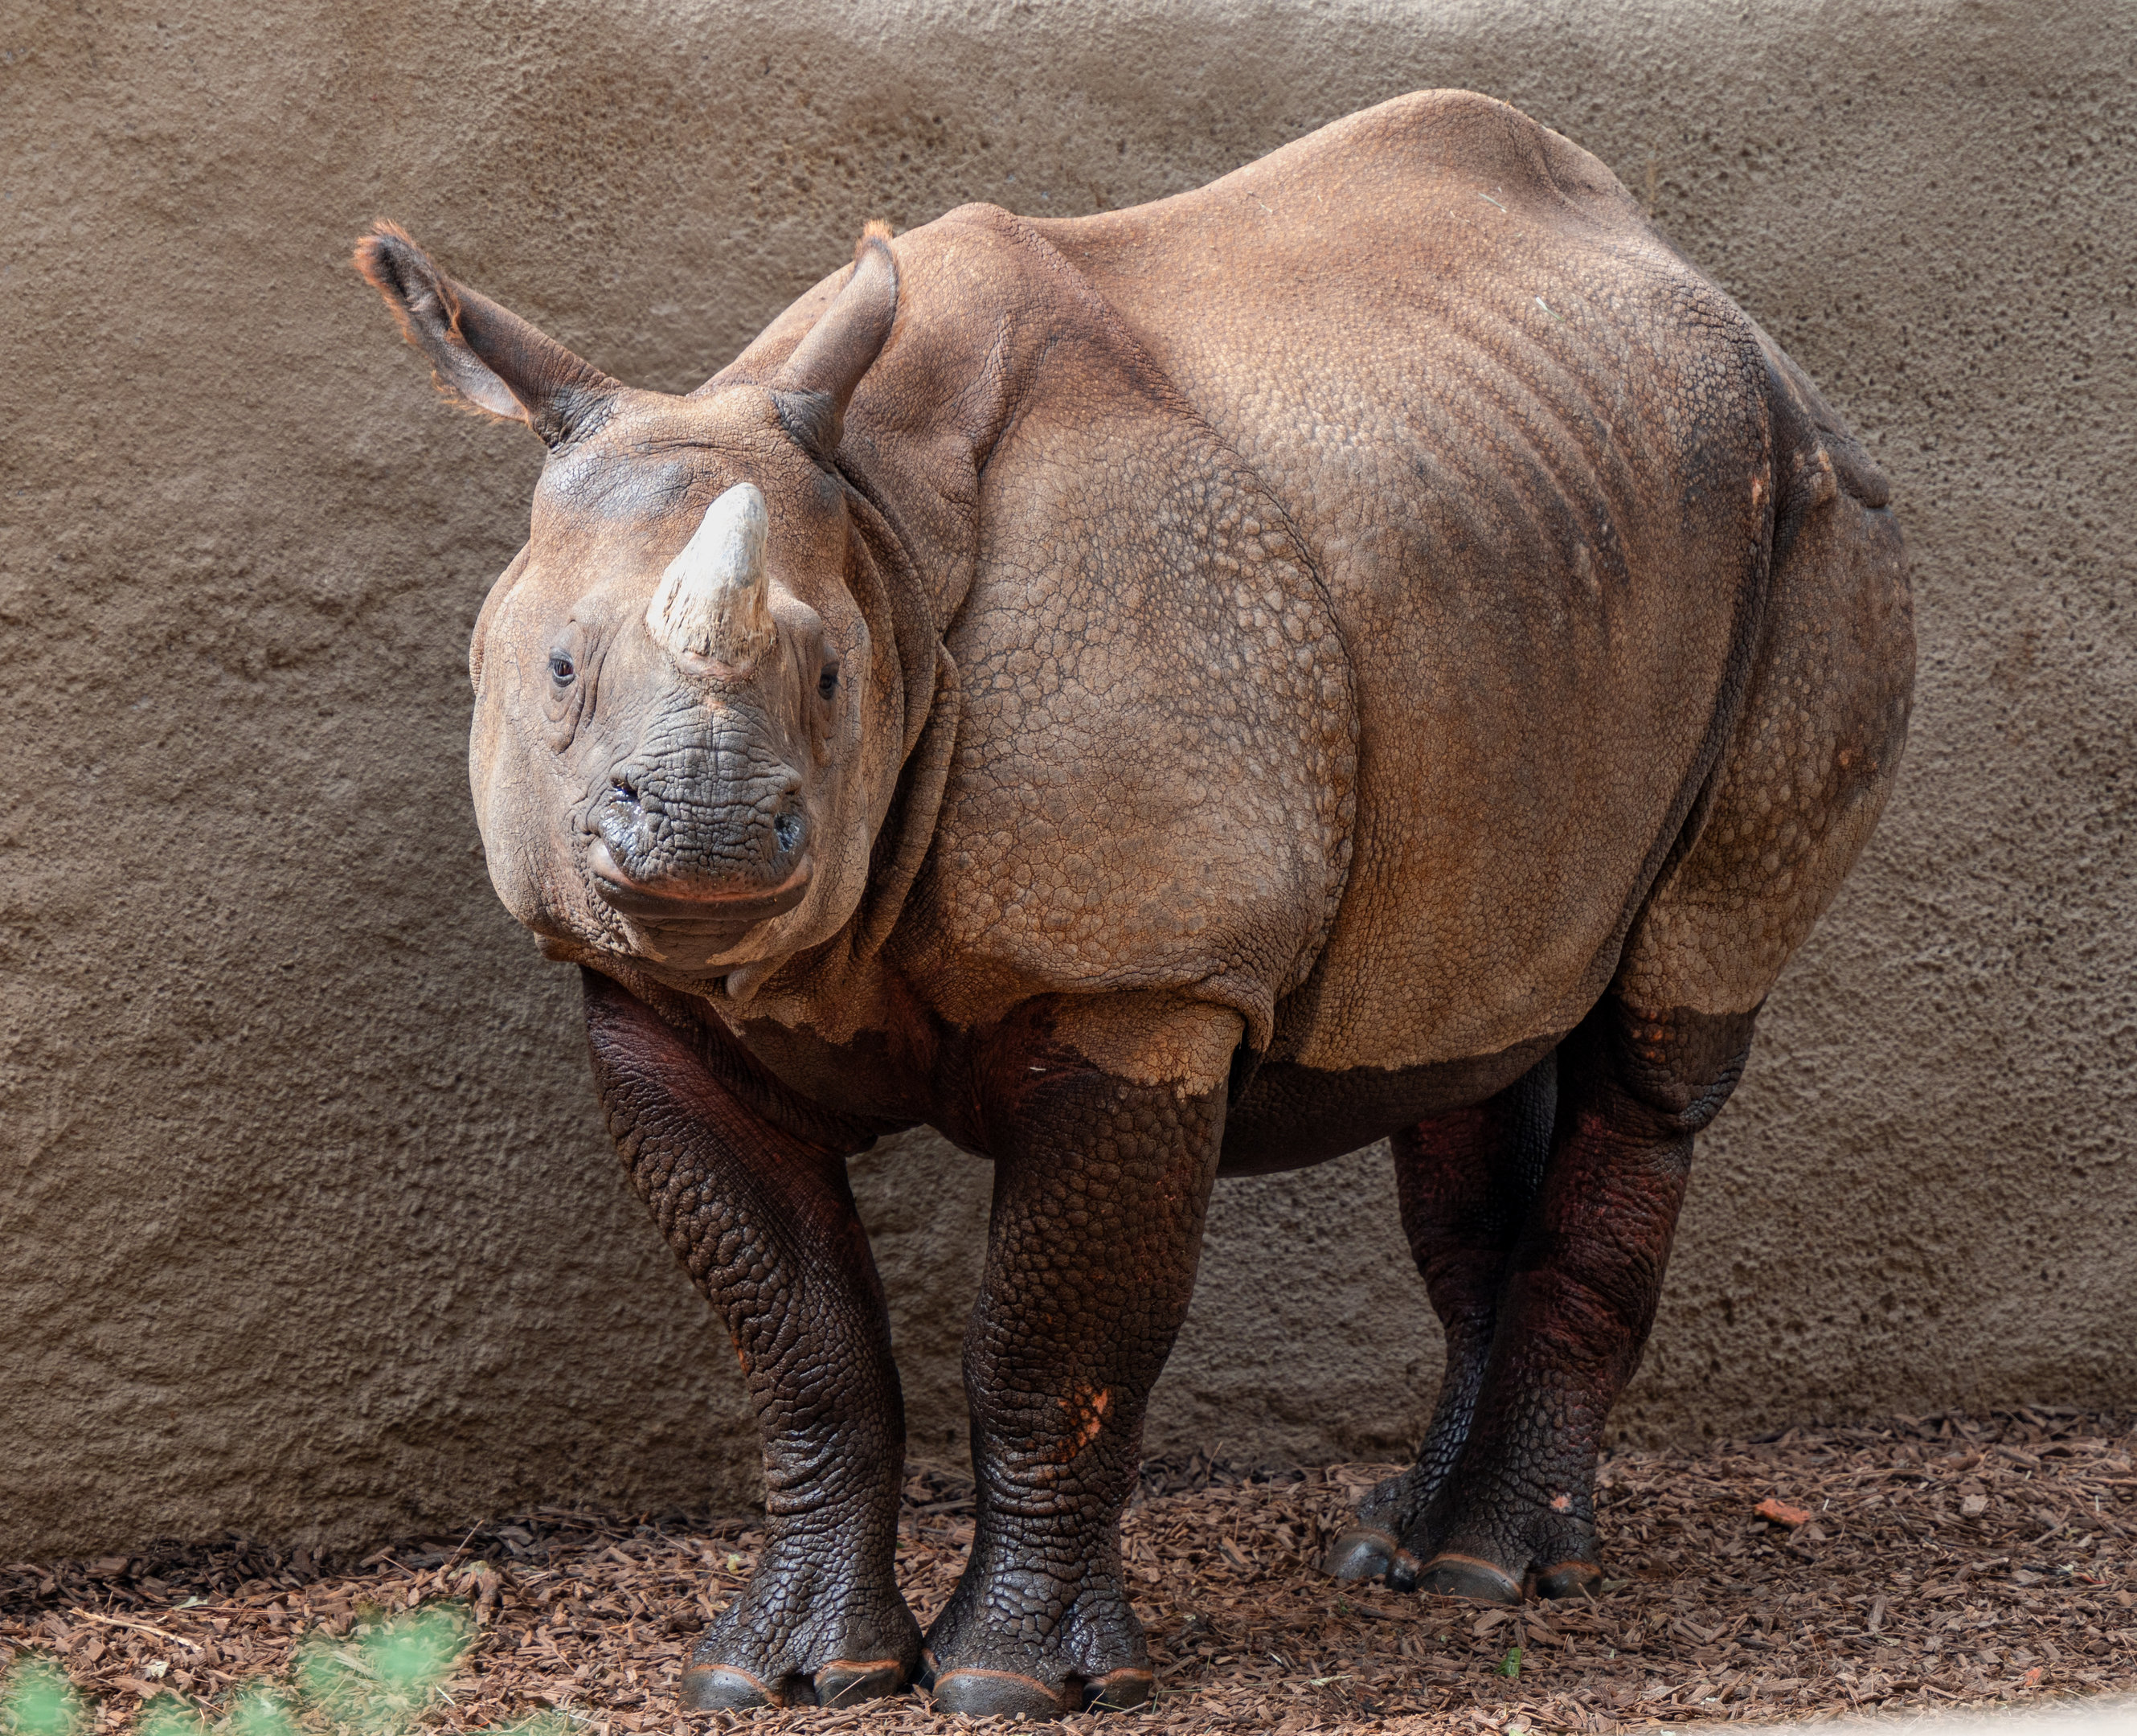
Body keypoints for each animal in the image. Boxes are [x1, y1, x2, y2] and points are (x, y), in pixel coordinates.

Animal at [356, 89, 1911, 1717]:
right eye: (558, 671)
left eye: (833, 679)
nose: (710, 834)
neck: (882, 522)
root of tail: (1744, 324)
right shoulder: (646, 990)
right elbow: (796, 1338)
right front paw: (781, 1673)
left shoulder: (1144, 974)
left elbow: (1054, 1339)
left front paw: (1011, 1684)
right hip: (1538, 541)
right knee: (1460, 1046)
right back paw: (1397, 1551)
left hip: (1821, 530)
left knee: (1661, 1041)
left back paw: (1494, 1569)